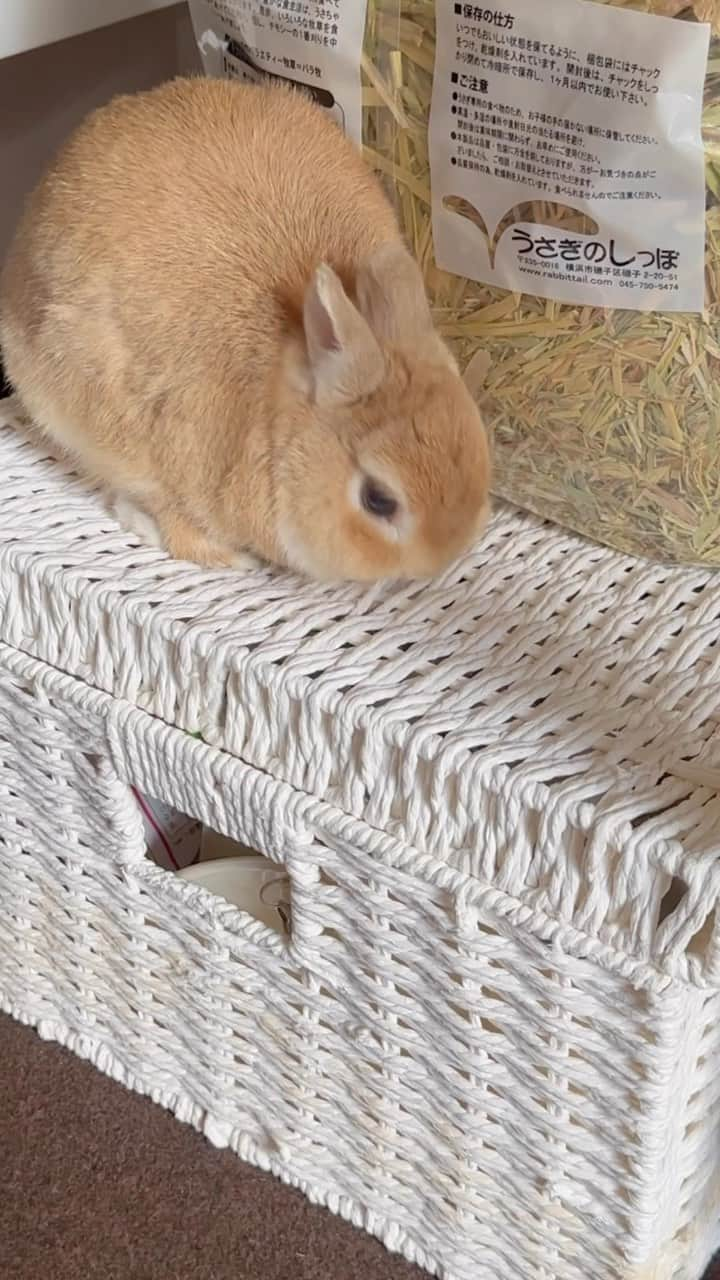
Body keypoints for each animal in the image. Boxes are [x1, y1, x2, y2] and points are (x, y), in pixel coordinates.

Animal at [0, 72, 486, 583]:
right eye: (378, 499)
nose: (447, 557)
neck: (274, 423)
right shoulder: (159, 467)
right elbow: (173, 521)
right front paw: (229, 558)